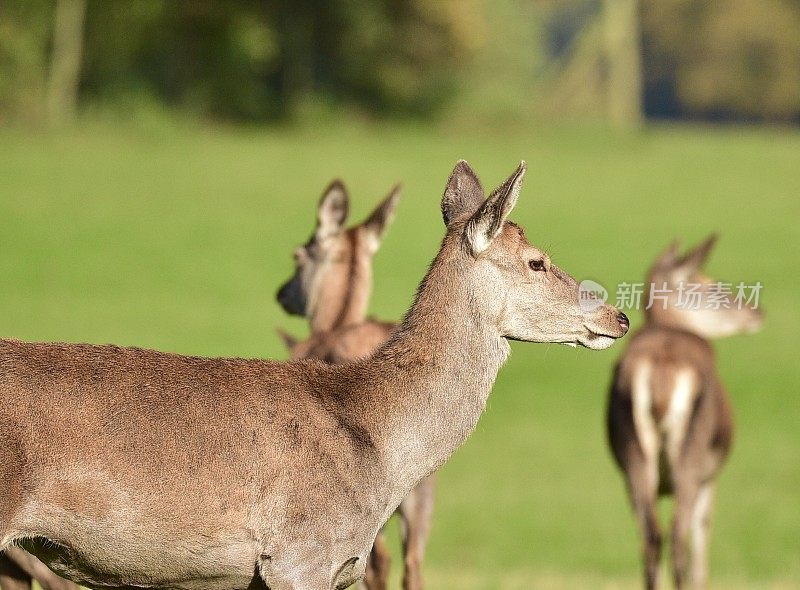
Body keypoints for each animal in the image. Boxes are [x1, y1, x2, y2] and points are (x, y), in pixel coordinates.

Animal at [608, 237, 764, 590]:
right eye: (710, 283)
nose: (757, 312)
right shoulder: (711, 474)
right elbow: (702, 537)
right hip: (693, 454)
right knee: (679, 536)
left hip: (631, 453)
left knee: (652, 536)